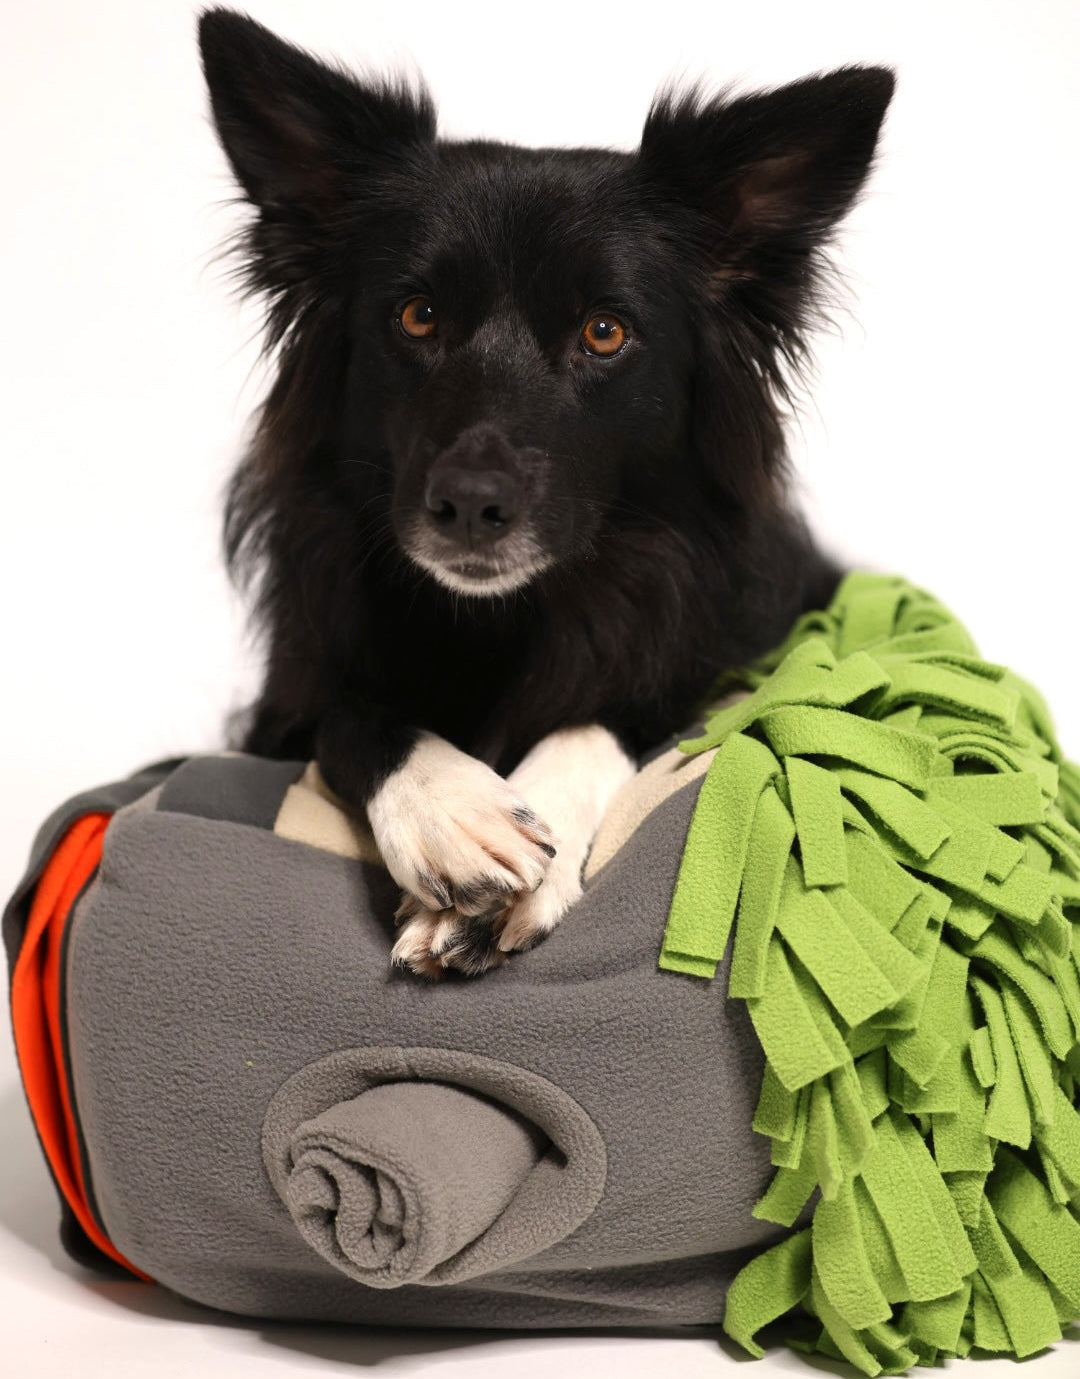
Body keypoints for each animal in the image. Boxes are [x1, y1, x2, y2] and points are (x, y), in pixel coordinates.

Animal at [198, 8, 893, 977]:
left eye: (604, 331)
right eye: (417, 316)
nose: (469, 505)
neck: (503, 617)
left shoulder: (715, 650)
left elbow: (609, 713)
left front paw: (528, 847)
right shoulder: (294, 701)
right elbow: (358, 713)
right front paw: (454, 809)